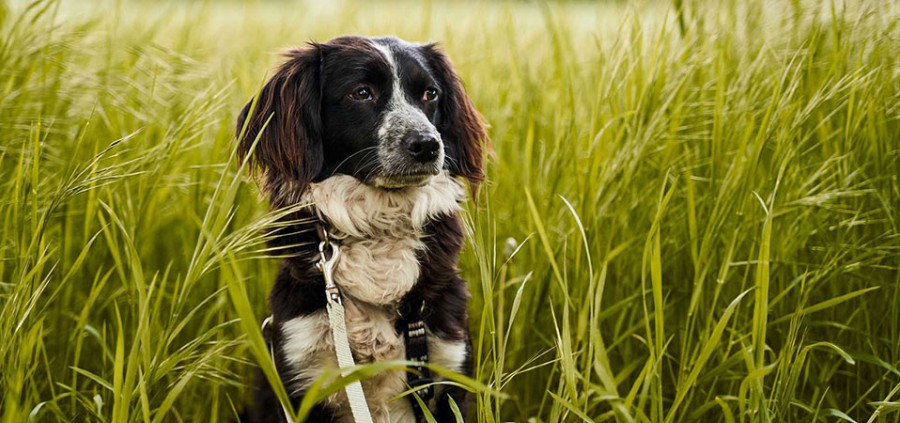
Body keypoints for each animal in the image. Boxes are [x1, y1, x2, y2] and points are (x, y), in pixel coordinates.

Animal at [237, 36, 486, 423]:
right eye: (362, 93)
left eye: (430, 93)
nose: (428, 145)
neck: (379, 229)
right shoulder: (302, 374)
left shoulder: (447, 370)